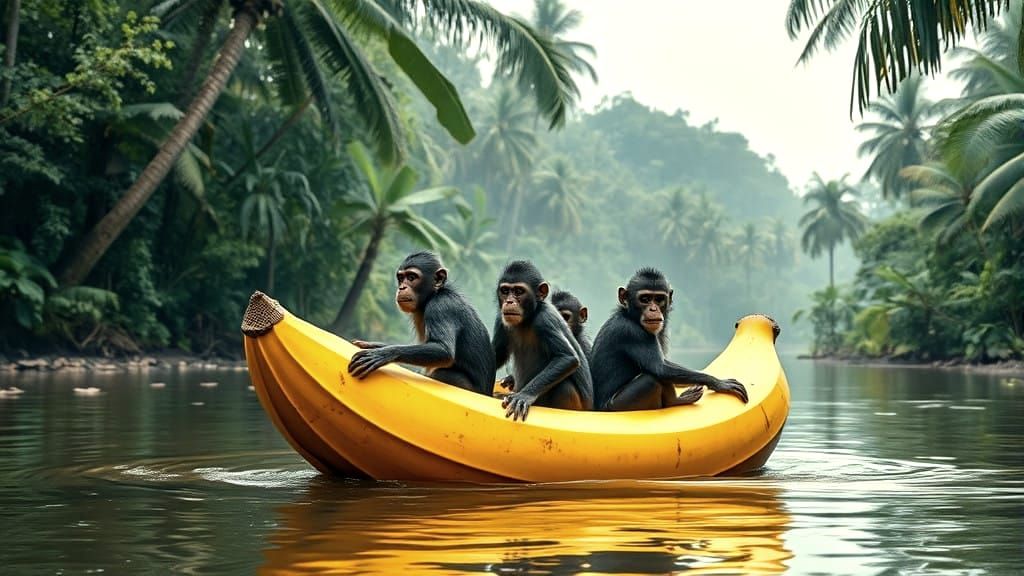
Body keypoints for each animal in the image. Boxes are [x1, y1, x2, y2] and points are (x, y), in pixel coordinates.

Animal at [348, 252, 495, 395]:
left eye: (412, 277)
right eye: (401, 278)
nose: (402, 287)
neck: (433, 294)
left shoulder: (441, 307)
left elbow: (442, 349)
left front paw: (384, 354)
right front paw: (373, 345)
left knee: (441, 373)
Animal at [492, 261, 593, 421]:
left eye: (519, 291)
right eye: (505, 291)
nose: (509, 301)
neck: (528, 318)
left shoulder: (545, 320)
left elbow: (567, 357)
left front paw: (524, 396)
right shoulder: (501, 319)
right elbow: (498, 354)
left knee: (563, 387)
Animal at [589, 267, 748, 411]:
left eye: (659, 299)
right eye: (645, 299)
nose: (653, 309)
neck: (629, 315)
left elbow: (665, 363)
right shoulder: (633, 333)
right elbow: (659, 367)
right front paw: (718, 383)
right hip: (619, 405)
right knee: (652, 378)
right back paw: (675, 402)